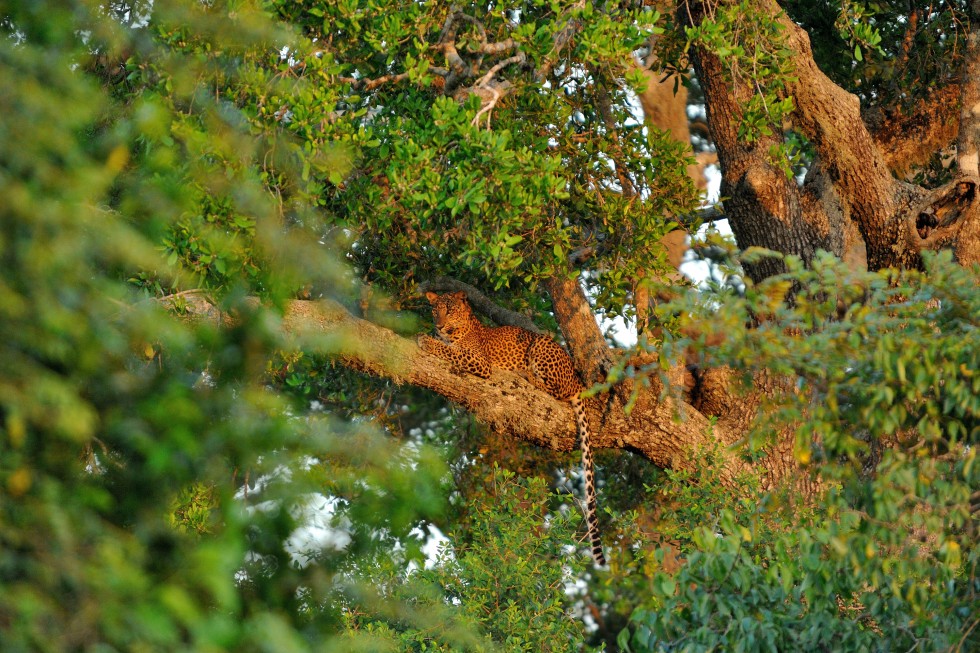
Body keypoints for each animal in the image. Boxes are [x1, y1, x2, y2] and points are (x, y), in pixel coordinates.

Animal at [420, 290, 604, 564]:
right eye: (435, 310)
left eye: (450, 311)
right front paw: (430, 336)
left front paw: (425, 340)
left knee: (555, 391)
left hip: (540, 346)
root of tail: (578, 381)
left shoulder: (479, 362)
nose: (439, 325)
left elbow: (449, 351)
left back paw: (526, 375)